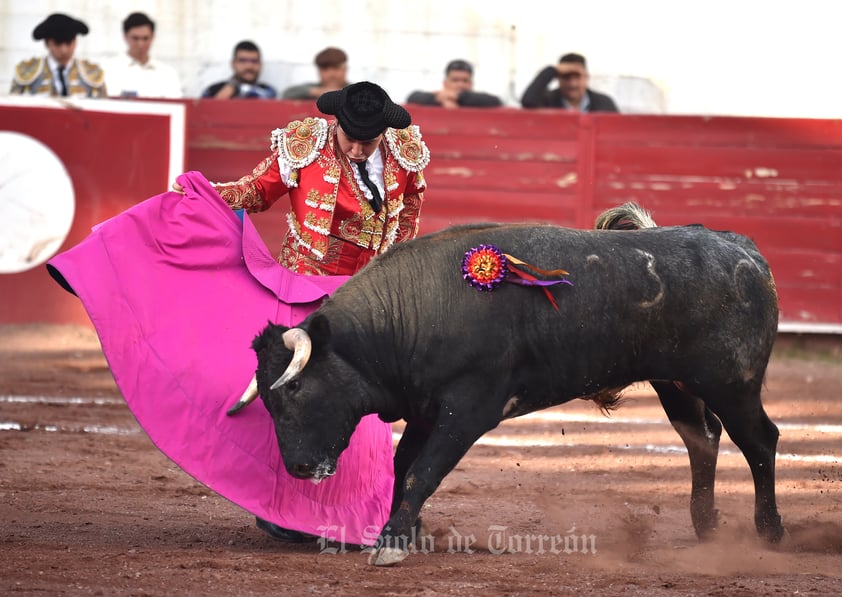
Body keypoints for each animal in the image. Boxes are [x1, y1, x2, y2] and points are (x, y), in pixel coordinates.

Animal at [228, 204, 780, 564]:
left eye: (295, 389)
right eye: (268, 401)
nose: (299, 468)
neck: (412, 315)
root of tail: (742, 247)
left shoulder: (467, 411)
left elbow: (421, 471)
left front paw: (390, 545)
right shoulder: (426, 409)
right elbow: (404, 465)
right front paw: (406, 533)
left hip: (732, 383)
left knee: (759, 441)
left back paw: (770, 532)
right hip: (677, 383)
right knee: (701, 439)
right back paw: (706, 528)